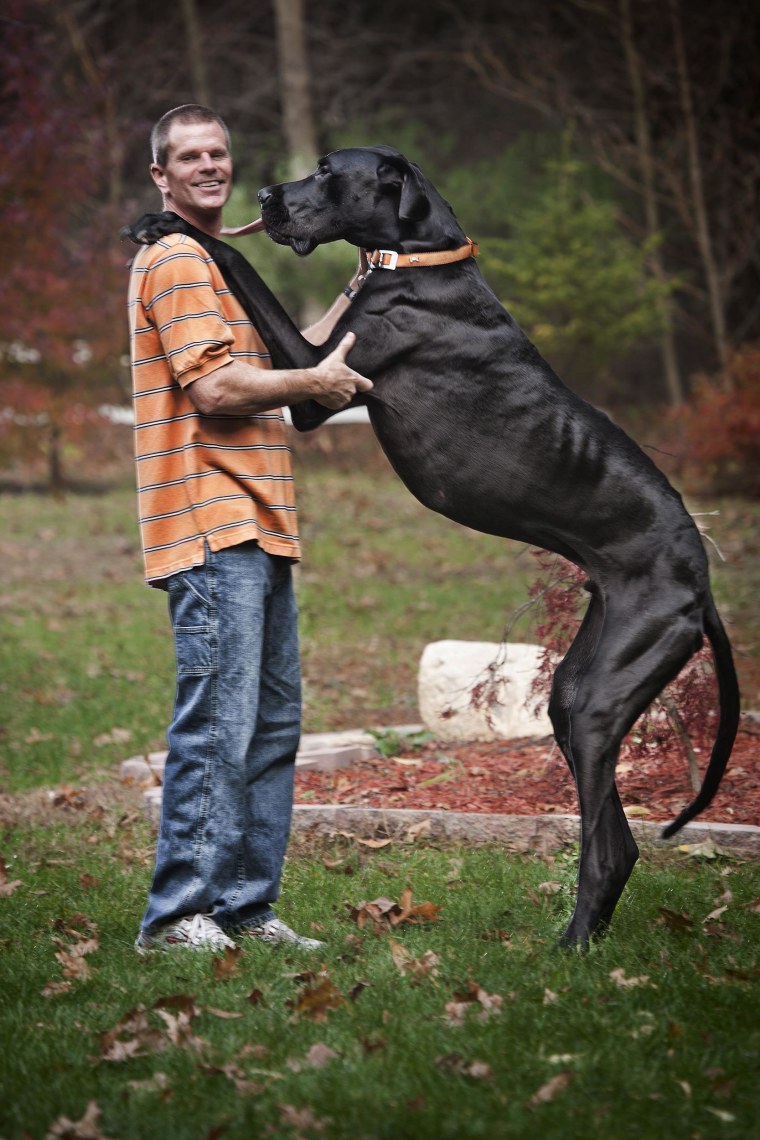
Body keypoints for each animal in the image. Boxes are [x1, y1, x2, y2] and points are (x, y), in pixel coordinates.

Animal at [127, 147, 738, 948]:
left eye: (329, 171)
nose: (263, 195)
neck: (417, 258)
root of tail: (701, 579)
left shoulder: (320, 378)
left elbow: (236, 260)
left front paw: (169, 223)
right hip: (580, 687)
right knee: (617, 833)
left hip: (609, 693)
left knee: (608, 843)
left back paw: (573, 945)